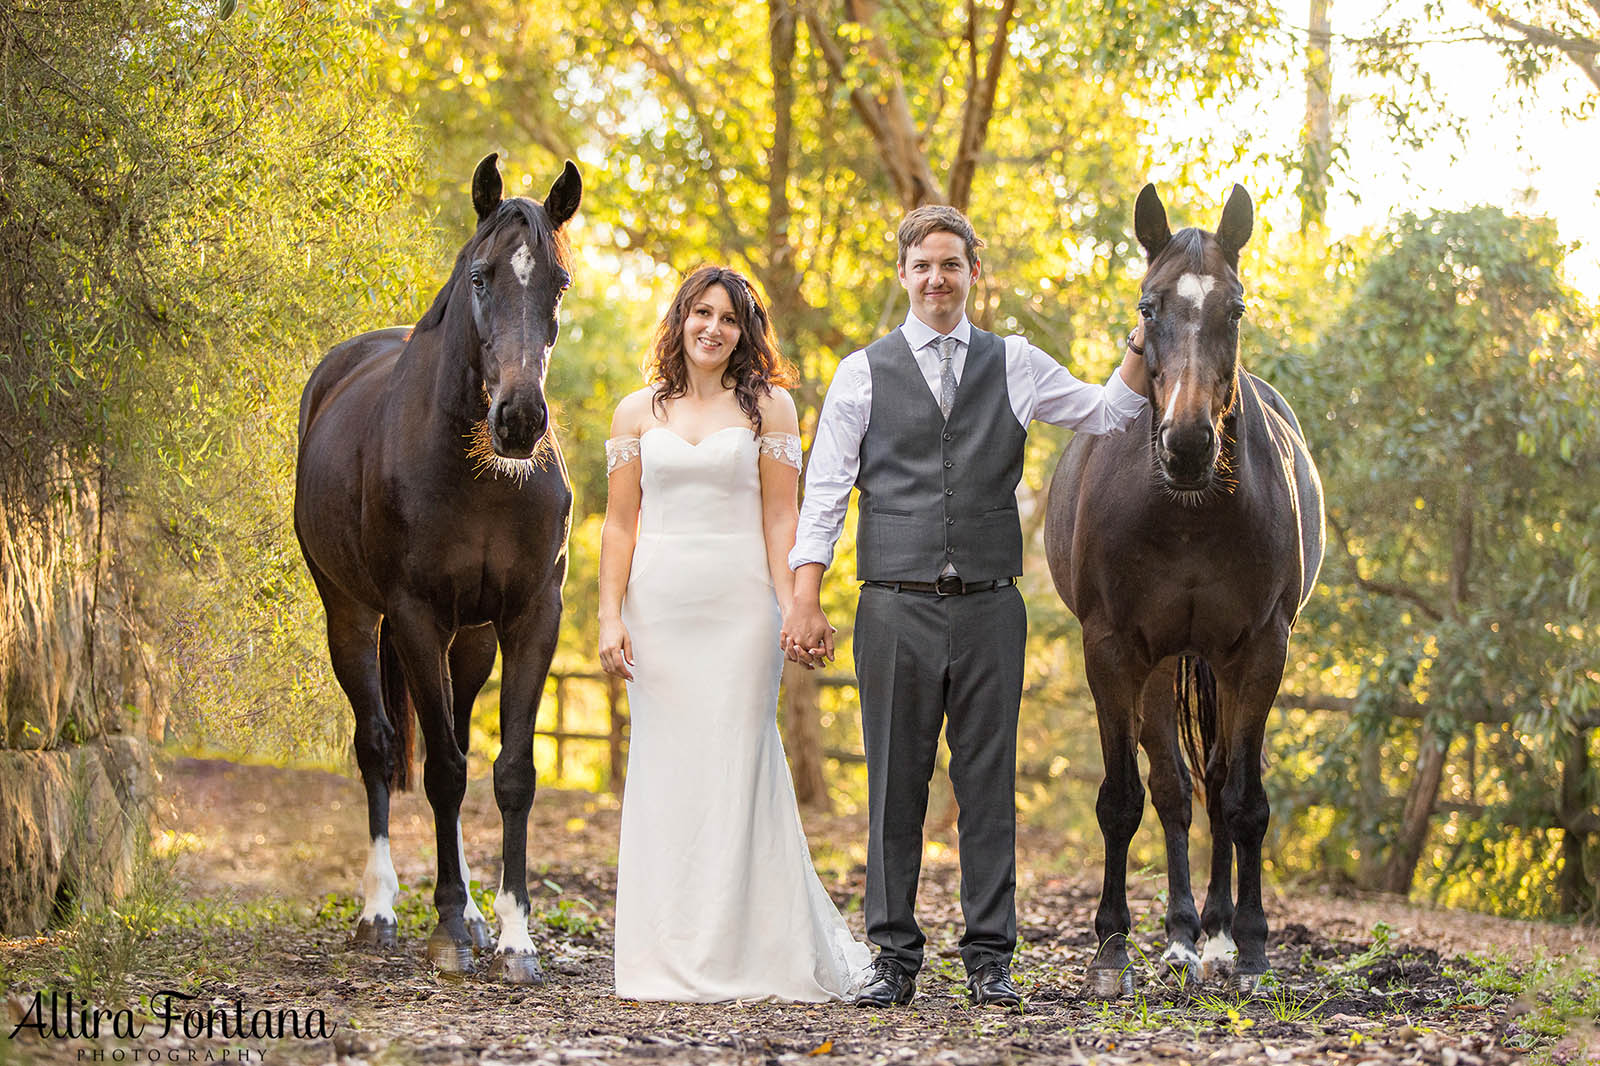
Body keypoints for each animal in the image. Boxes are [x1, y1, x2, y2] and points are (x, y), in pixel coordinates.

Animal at [294, 151, 582, 979]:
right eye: (481, 277)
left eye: (559, 284)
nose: (520, 420)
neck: (480, 475)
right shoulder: (416, 615)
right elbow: (442, 771)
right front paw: (449, 929)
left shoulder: (529, 618)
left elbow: (510, 771)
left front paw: (513, 936)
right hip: (352, 617)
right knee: (381, 747)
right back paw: (380, 911)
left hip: (471, 641)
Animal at [1043, 184, 1318, 998]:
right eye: (1147, 306)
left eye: (1236, 308)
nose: (1188, 444)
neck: (1187, 512)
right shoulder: (1111, 650)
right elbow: (1121, 800)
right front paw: (1111, 950)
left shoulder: (1260, 651)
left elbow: (1245, 803)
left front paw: (1252, 947)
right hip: (1163, 664)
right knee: (1170, 789)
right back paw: (1179, 936)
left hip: (1213, 662)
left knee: (1219, 783)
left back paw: (1216, 933)